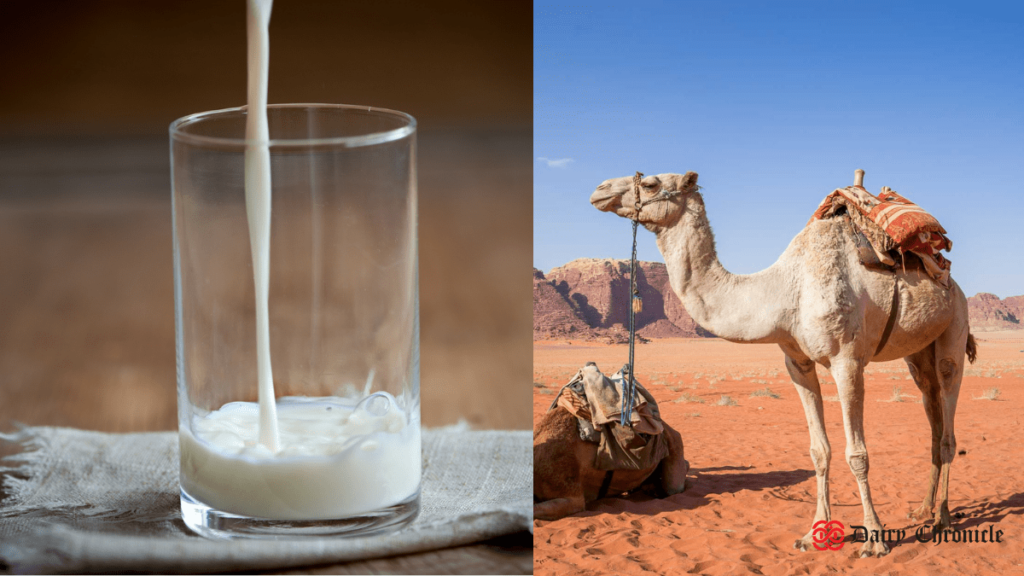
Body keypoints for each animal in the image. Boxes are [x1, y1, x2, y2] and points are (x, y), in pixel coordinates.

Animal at [589, 171, 970, 557]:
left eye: (651, 183)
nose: (599, 190)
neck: (785, 292)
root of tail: (950, 280)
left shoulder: (847, 360)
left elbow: (857, 454)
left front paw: (875, 540)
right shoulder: (797, 363)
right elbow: (819, 451)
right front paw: (815, 533)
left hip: (954, 326)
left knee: (948, 419)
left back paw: (943, 518)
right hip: (917, 353)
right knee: (931, 410)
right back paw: (922, 509)